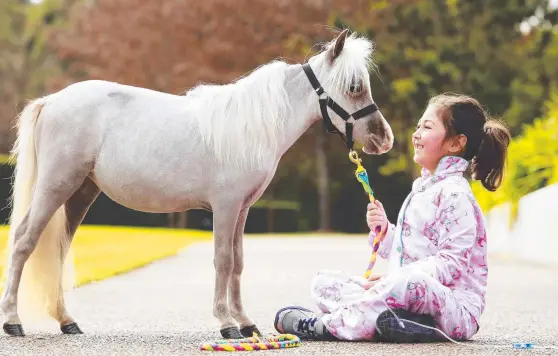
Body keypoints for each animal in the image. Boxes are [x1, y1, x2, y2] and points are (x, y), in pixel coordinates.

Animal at [0, 29, 394, 338]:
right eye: (354, 87)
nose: (383, 139)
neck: (253, 127)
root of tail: (52, 101)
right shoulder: (225, 206)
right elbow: (223, 260)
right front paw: (227, 323)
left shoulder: (242, 210)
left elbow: (238, 262)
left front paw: (246, 323)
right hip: (56, 186)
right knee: (23, 241)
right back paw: (13, 321)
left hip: (80, 193)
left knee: (58, 249)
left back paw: (67, 321)